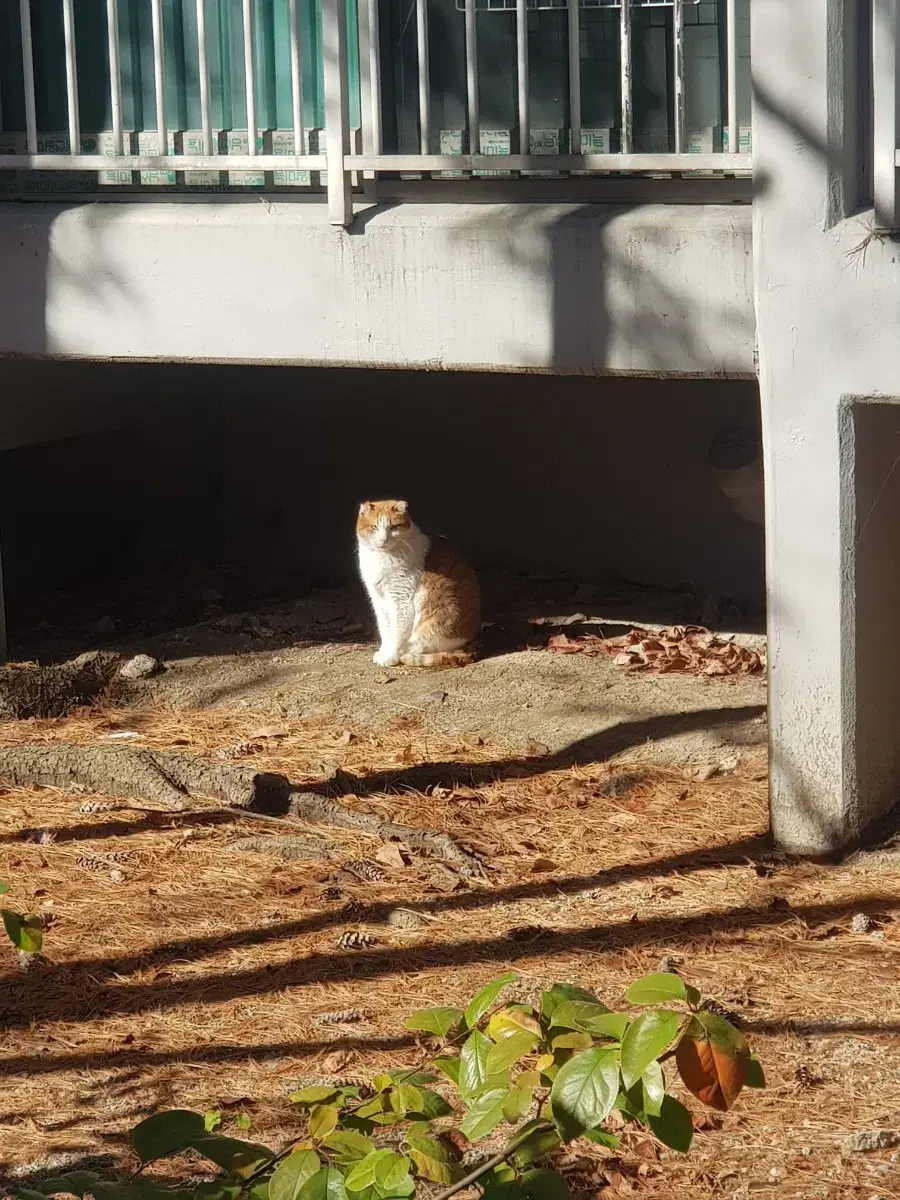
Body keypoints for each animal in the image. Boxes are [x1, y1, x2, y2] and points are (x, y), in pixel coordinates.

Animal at [355, 494, 482, 667]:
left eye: (393, 527)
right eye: (374, 527)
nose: (383, 539)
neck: (382, 556)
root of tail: (475, 636)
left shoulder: (401, 600)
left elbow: (396, 633)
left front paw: (390, 656)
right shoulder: (378, 599)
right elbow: (385, 629)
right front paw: (384, 651)